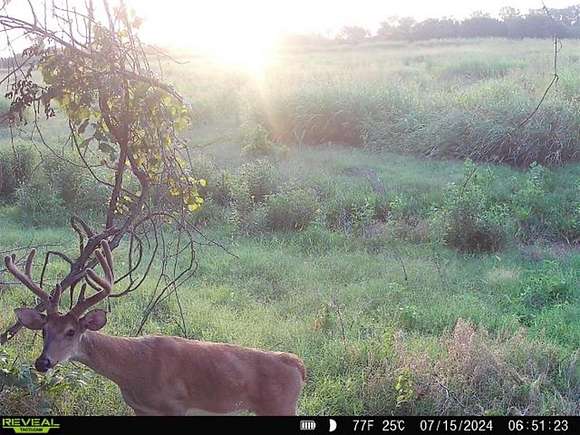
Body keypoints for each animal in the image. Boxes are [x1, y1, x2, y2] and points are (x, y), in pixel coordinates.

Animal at [5, 242, 304, 416]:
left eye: (71, 331)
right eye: (43, 330)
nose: (42, 362)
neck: (132, 369)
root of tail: (299, 365)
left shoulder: (175, 405)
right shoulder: (140, 409)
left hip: (280, 408)